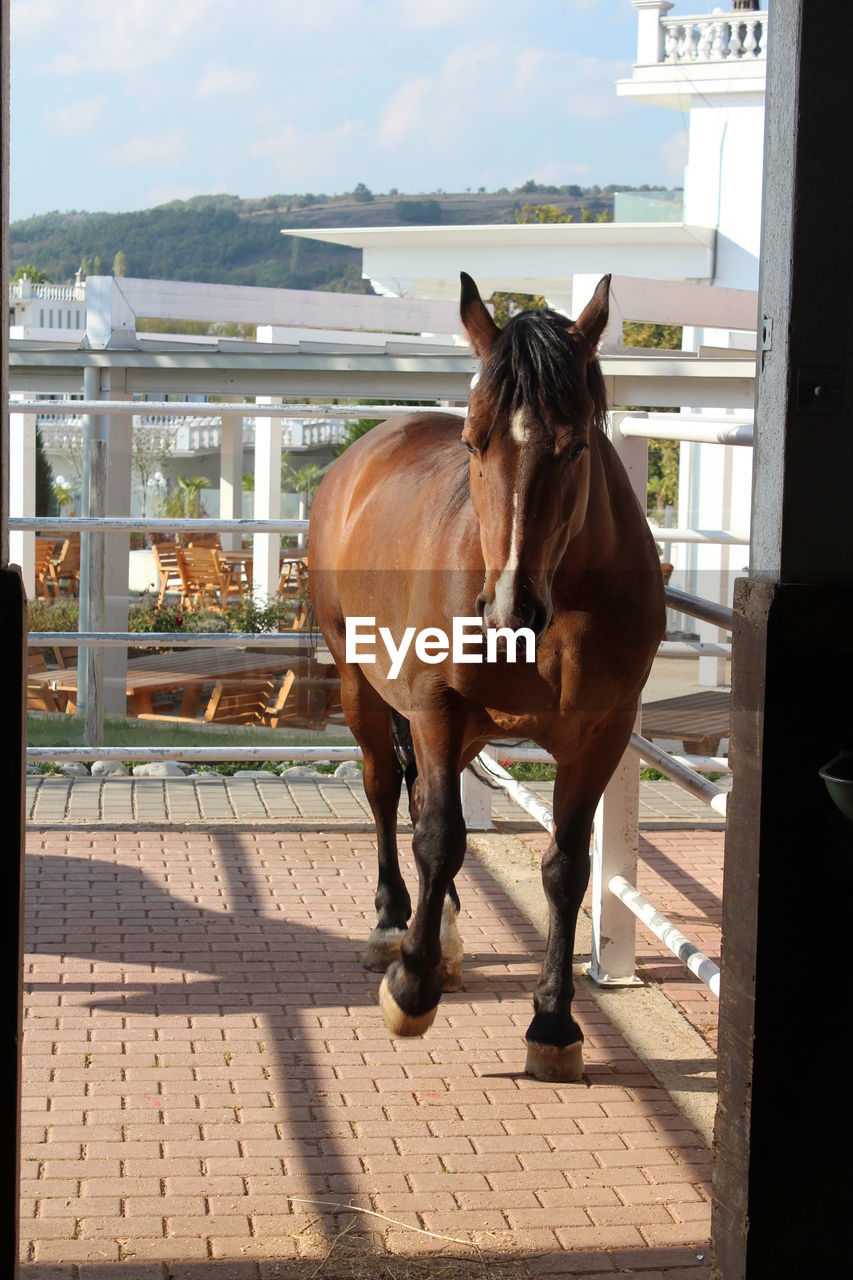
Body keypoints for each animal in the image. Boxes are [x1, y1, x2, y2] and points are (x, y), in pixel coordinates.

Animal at [307, 277, 666, 1080]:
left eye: (576, 445)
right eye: (475, 443)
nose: (508, 609)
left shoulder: (602, 735)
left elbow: (567, 867)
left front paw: (554, 1022)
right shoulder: (437, 706)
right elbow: (441, 838)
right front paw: (410, 990)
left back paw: (441, 931)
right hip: (360, 684)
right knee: (387, 790)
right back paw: (394, 927)